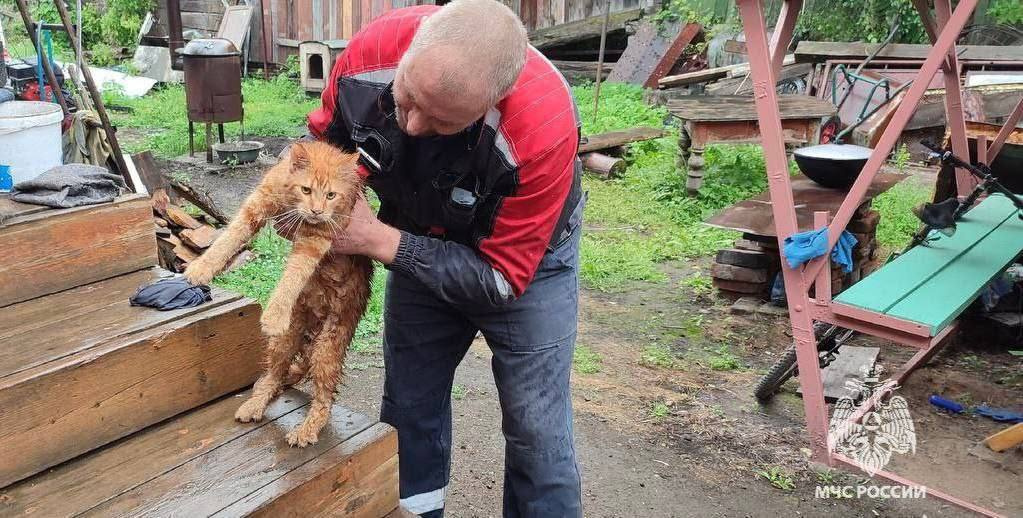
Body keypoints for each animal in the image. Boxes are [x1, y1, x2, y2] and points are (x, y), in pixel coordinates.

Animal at [186, 140, 374, 444]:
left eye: (331, 195)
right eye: (306, 189)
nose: (317, 211)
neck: (292, 201)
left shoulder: (317, 237)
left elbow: (293, 275)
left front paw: (274, 314)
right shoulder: (257, 204)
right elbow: (228, 237)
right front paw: (201, 268)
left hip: (327, 348)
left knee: (324, 399)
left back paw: (307, 430)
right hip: (285, 340)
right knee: (273, 375)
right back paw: (254, 404)